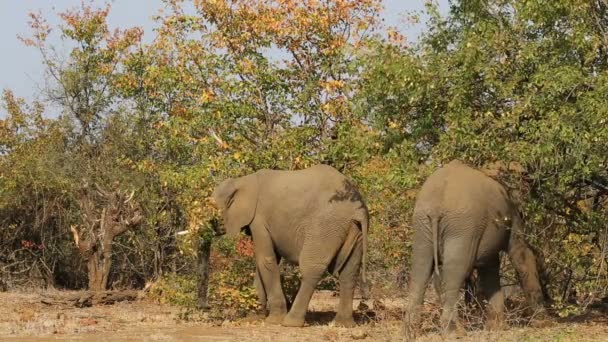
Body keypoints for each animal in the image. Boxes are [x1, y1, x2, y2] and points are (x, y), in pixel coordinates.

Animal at [211, 164, 368, 328]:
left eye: (212, 209)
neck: (243, 180)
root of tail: (358, 209)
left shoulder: (259, 219)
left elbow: (266, 259)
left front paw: (273, 320)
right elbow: (264, 262)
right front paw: (252, 318)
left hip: (325, 227)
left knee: (311, 269)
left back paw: (291, 322)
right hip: (354, 230)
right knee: (349, 272)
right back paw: (344, 324)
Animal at [406, 161, 544, 336]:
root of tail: (437, 203)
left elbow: (490, 266)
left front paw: (496, 328)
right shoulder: (511, 211)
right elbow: (521, 253)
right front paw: (542, 323)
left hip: (422, 224)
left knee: (420, 270)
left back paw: (411, 332)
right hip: (462, 226)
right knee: (455, 272)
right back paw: (454, 331)